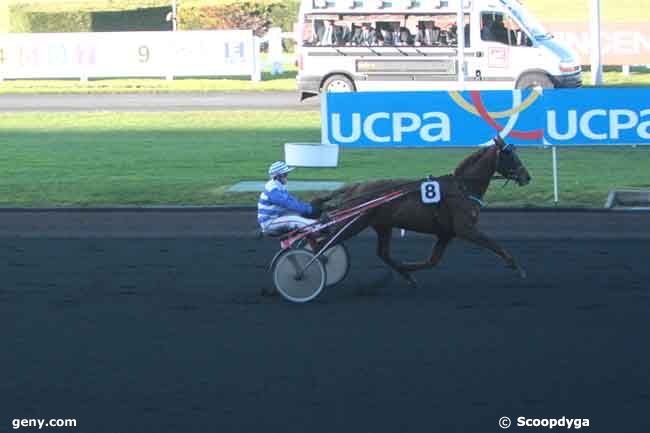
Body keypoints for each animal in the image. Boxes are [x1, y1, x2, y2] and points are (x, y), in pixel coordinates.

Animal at [312, 135, 528, 284]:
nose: (527, 177)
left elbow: (432, 261)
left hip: (382, 226)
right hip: (352, 224)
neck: (462, 188)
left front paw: (407, 268)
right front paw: (517, 267)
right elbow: (494, 244)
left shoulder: (446, 234)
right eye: (509, 154)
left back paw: (404, 274)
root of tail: (355, 187)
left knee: (383, 253)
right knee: (321, 244)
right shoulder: (466, 229)